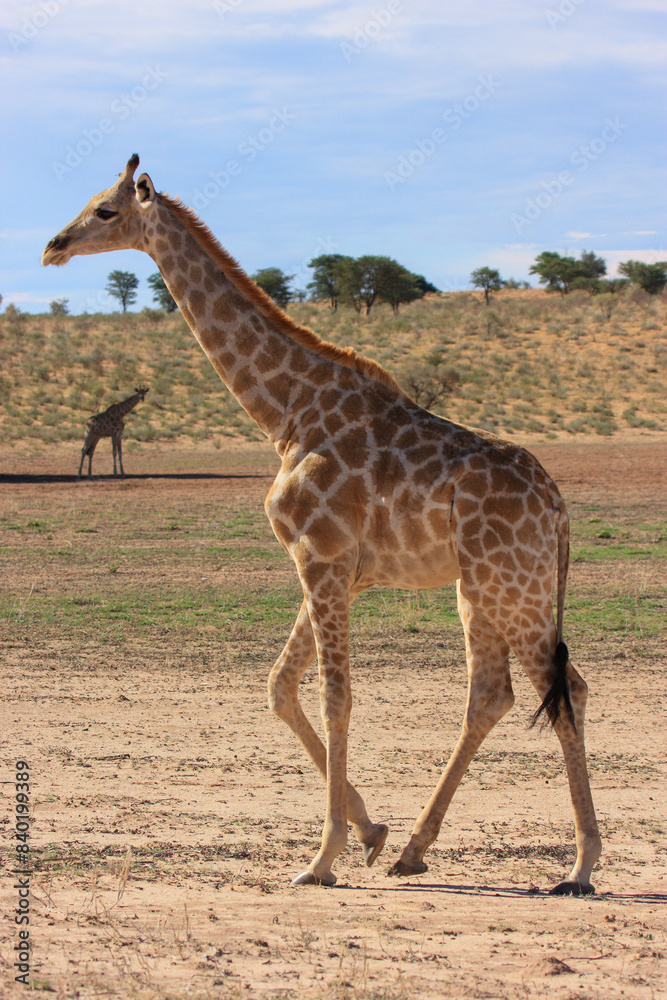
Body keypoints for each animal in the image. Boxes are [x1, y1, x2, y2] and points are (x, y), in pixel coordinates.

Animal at [42, 155, 601, 894]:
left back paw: (581, 864)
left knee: (562, 690)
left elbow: (337, 697)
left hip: (515, 588)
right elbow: (280, 688)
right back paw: (414, 848)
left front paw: (322, 855)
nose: (53, 246)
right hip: (477, 591)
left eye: (105, 210)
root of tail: (558, 509)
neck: (285, 412)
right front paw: (369, 831)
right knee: (493, 694)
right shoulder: (332, 569)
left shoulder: (320, 558)